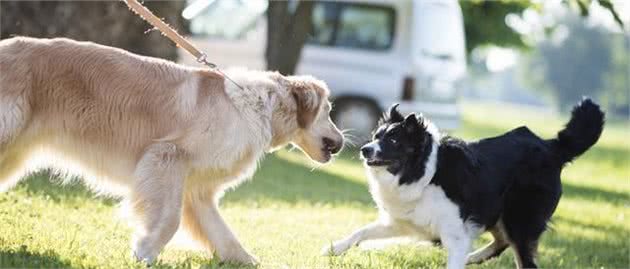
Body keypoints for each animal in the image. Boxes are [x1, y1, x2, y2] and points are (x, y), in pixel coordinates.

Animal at [324, 99, 604, 268]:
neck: (426, 174)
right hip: (496, 215)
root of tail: (551, 147)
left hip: (519, 219)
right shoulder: (405, 222)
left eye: (393, 141)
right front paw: (333, 248)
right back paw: (473, 257)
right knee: (501, 242)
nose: (365, 150)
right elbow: (361, 232)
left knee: (523, 259)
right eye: (375, 136)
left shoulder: (456, 233)